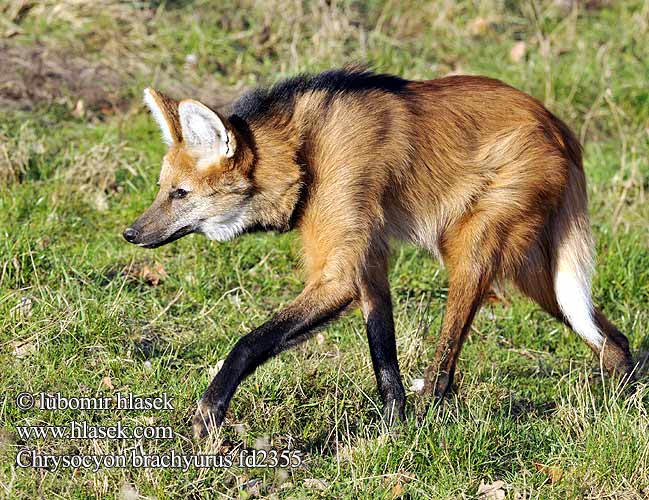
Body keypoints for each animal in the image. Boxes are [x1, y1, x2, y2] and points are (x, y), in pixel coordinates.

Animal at [124, 67, 636, 438]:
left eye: (181, 194)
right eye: (162, 190)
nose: (131, 233)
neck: (304, 155)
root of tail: (560, 127)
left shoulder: (338, 270)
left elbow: (249, 343)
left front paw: (208, 414)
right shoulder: (367, 261)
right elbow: (382, 352)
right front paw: (391, 427)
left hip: (472, 251)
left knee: (446, 368)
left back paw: (432, 418)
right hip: (534, 273)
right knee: (613, 337)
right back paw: (621, 402)